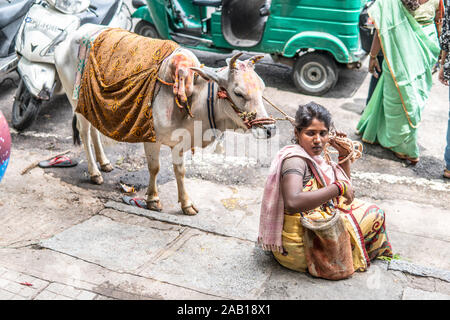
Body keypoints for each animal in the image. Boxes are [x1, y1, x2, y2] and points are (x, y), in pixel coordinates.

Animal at [54, 24, 276, 215]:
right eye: (238, 93)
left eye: (262, 88)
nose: (270, 129)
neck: (192, 98)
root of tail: (74, 35)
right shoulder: (150, 138)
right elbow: (155, 168)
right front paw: (153, 200)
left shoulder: (180, 142)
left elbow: (180, 171)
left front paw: (186, 204)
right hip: (76, 102)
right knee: (85, 133)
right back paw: (95, 172)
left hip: (89, 106)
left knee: (94, 130)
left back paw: (105, 163)